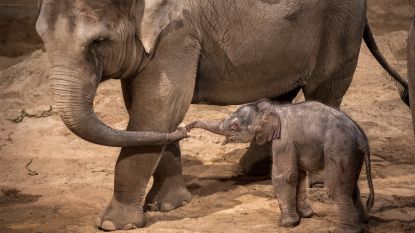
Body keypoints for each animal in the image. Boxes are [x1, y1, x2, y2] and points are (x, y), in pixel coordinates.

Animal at [187, 100, 376, 233]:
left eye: (235, 125)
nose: (186, 129)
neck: (273, 108)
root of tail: (362, 139)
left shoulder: (283, 140)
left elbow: (283, 175)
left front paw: (286, 224)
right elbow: (299, 174)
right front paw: (306, 216)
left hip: (339, 150)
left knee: (336, 188)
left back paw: (348, 230)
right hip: (351, 154)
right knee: (352, 186)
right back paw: (364, 222)